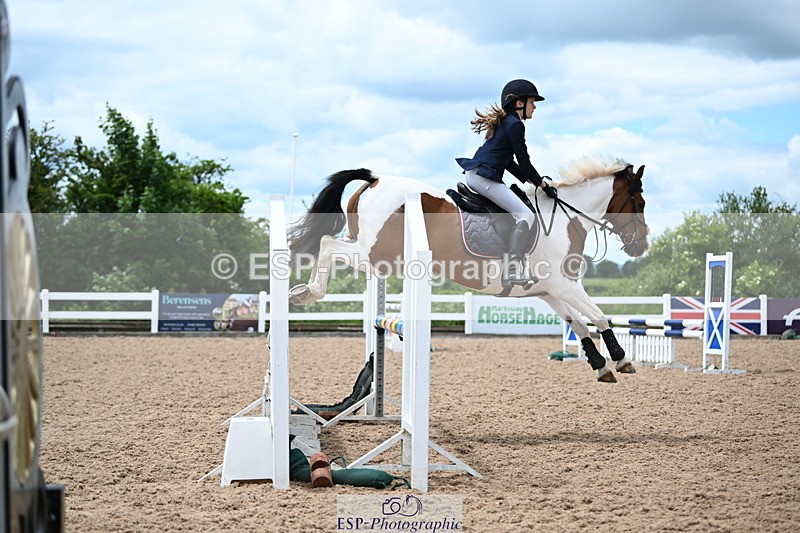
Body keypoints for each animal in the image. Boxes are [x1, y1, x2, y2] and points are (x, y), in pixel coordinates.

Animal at [288, 155, 649, 382]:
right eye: (640, 202)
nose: (641, 245)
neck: (565, 218)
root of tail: (375, 179)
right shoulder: (565, 284)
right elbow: (599, 316)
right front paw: (621, 359)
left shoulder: (550, 291)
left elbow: (579, 323)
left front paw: (600, 366)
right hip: (376, 253)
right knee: (327, 245)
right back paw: (306, 293)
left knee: (329, 244)